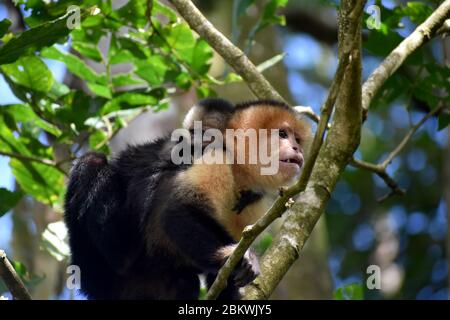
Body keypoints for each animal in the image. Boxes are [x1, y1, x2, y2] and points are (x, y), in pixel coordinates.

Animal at [64, 98, 310, 300]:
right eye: (282, 134)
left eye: (297, 139)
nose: (297, 148)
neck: (238, 169)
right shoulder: (215, 156)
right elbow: (175, 212)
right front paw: (231, 256)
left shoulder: (254, 201)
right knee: (92, 161)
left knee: (185, 281)